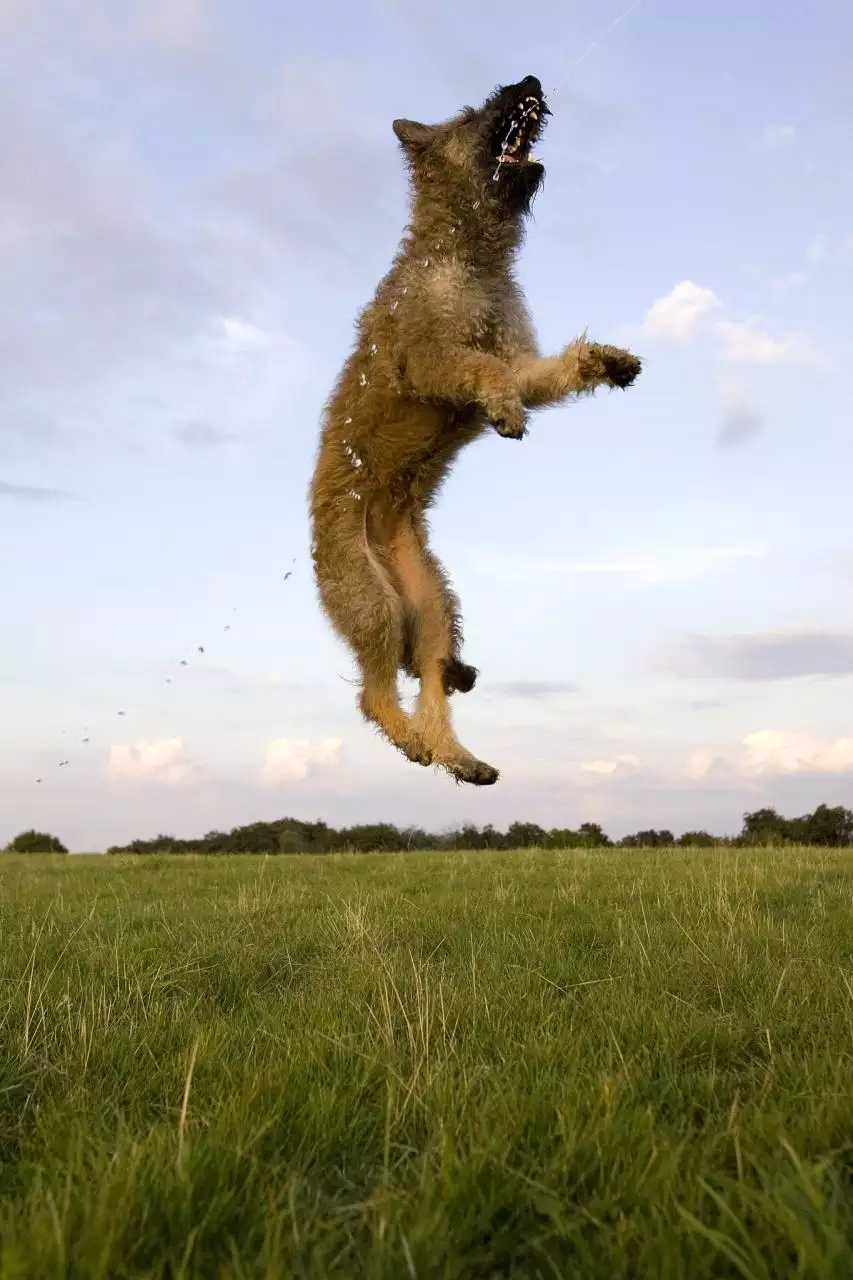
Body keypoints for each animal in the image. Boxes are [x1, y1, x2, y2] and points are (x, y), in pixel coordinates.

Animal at [306, 77, 637, 788]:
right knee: (373, 695)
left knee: (430, 679)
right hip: (372, 603)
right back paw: (418, 744)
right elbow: (478, 367)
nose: (530, 82)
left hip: (431, 604)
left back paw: (459, 757)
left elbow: (538, 371)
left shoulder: (520, 360)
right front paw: (506, 415)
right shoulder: (428, 360)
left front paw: (608, 361)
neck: (467, 257)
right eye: (470, 112)